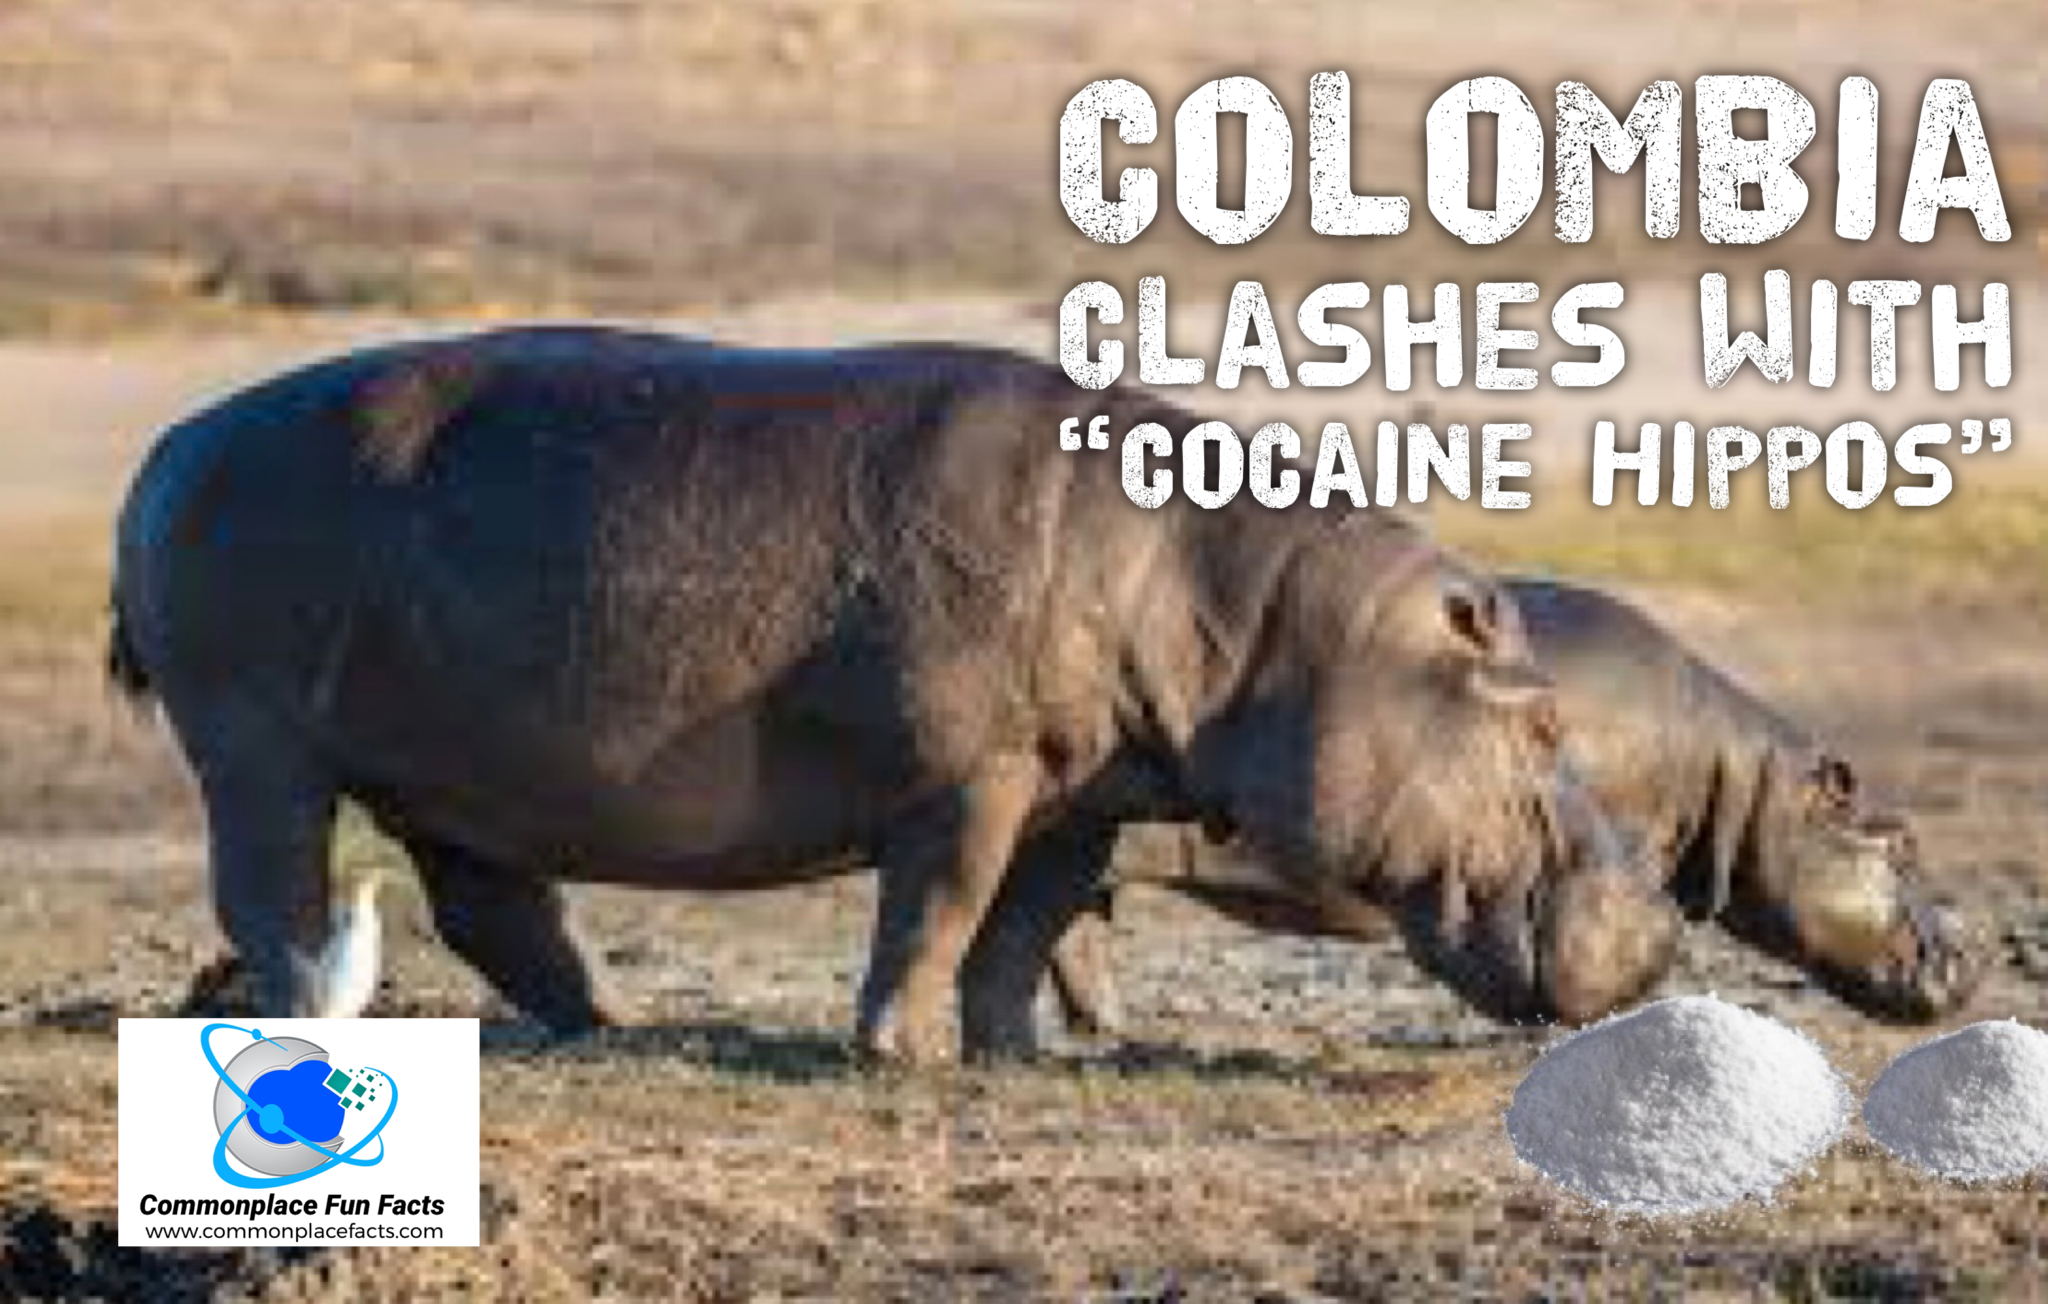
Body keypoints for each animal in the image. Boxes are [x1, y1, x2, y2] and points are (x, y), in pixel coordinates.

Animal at [109, 325, 1662, 1063]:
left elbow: (1021, 926)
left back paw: (618, 1018)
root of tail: (168, 446)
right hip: (254, 741)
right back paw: (309, 1005)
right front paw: (899, 1055)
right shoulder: (970, 775)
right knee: (273, 886)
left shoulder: (1078, 786)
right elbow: (940, 907)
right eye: (1538, 717)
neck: (1257, 610)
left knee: (498, 907)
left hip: (453, 774)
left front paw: (1011, 1059)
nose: (1658, 931)